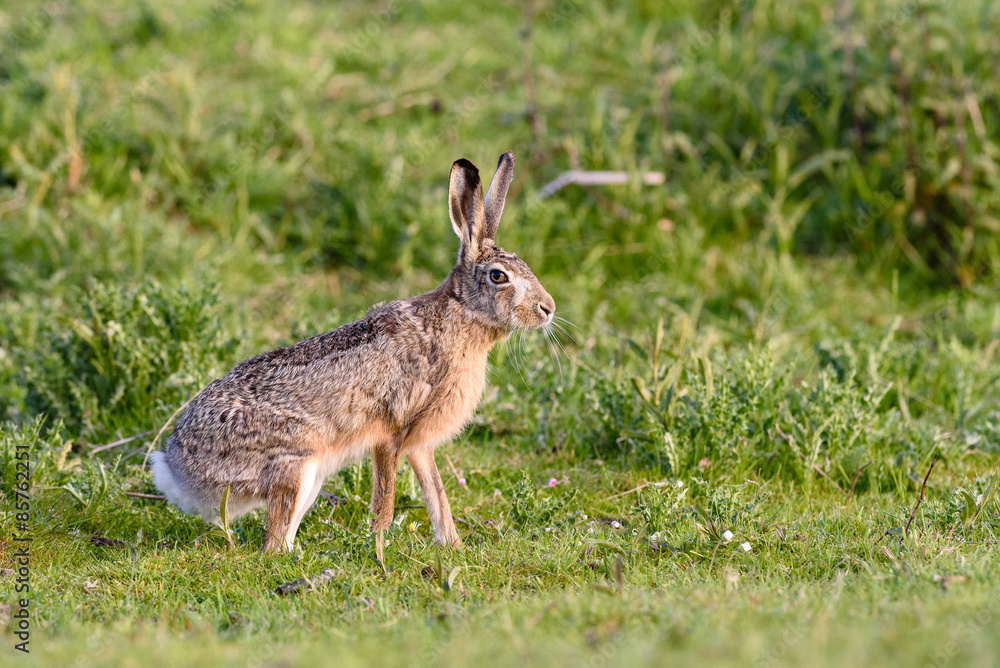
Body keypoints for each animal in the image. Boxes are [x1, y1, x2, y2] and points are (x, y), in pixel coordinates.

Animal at [150, 151, 555, 553]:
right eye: (498, 276)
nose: (548, 308)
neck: (461, 316)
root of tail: (177, 469)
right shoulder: (392, 431)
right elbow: (386, 499)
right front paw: (378, 546)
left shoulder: (420, 443)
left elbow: (437, 493)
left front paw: (451, 545)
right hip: (296, 461)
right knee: (272, 545)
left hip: (311, 476)